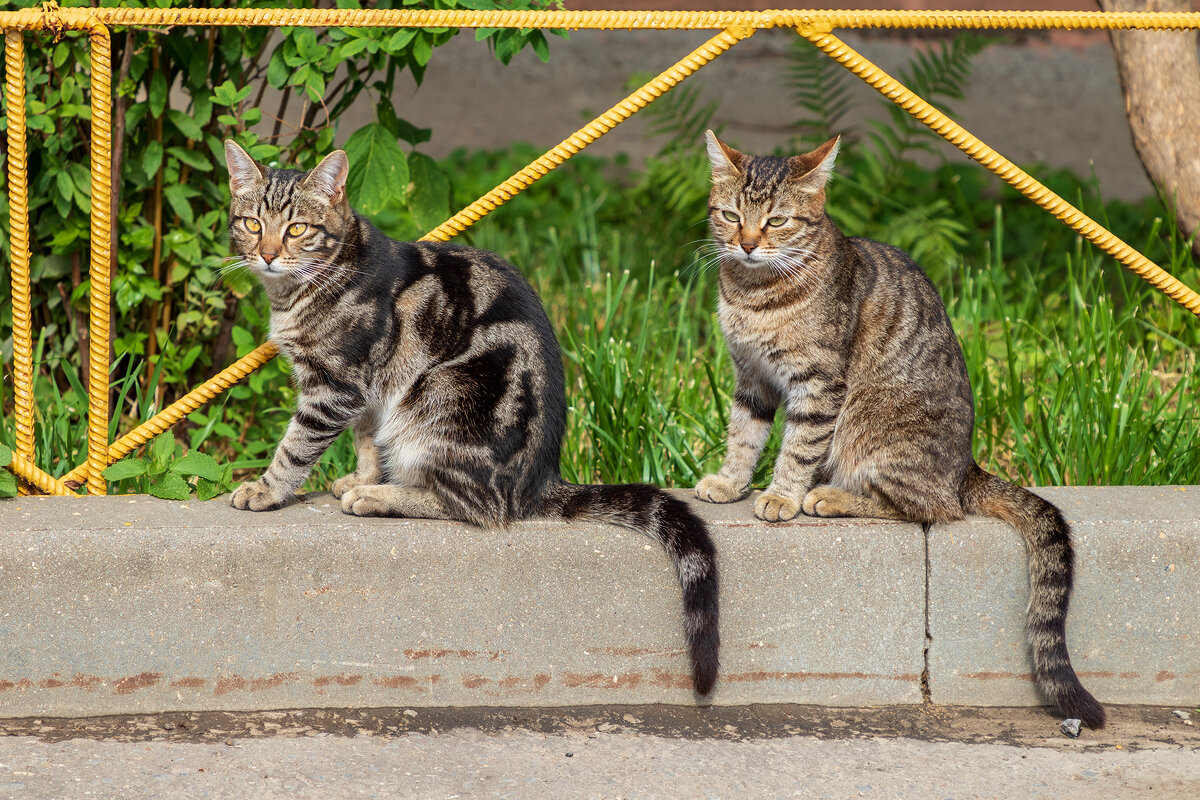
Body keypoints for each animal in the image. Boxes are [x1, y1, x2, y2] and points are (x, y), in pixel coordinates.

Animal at [220, 137, 715, 695]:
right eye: (252, 223)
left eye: (297, 229)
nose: (267, 254)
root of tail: (537, 480)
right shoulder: (368, 388)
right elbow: (366, 437)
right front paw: (362, 473)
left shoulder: (335, 384)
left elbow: (296, 446)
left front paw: (270, 489)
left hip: (437, 402)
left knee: (478, 507)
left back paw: (381, 497)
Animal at [696, 130, 1104, 724]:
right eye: (731, 215)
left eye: (777, 221)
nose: (746, 244)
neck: (754, 292)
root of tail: (965, 469)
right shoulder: (751, 379)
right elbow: (742, 437)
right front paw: (729, 482)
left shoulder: (818, 384)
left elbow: (797, 447)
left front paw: (780, 494)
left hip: (874, 435)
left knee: (928, 508)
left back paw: (830, 497)